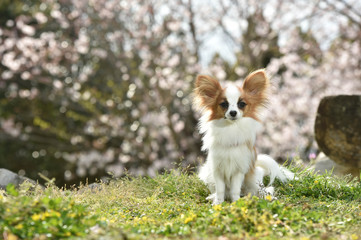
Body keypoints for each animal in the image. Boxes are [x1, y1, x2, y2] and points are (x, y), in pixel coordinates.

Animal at [193, 69, 294, 204]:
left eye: (241, 104)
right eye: (224, 104)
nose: (233, 112)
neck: (231, 128)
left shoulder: (239, 170)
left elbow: (235, 190)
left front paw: (236, 203)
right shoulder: (217, 170)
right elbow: (220, 190)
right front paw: (218, 203)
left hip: (253, 180)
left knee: (261, 190)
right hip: (207, 174)